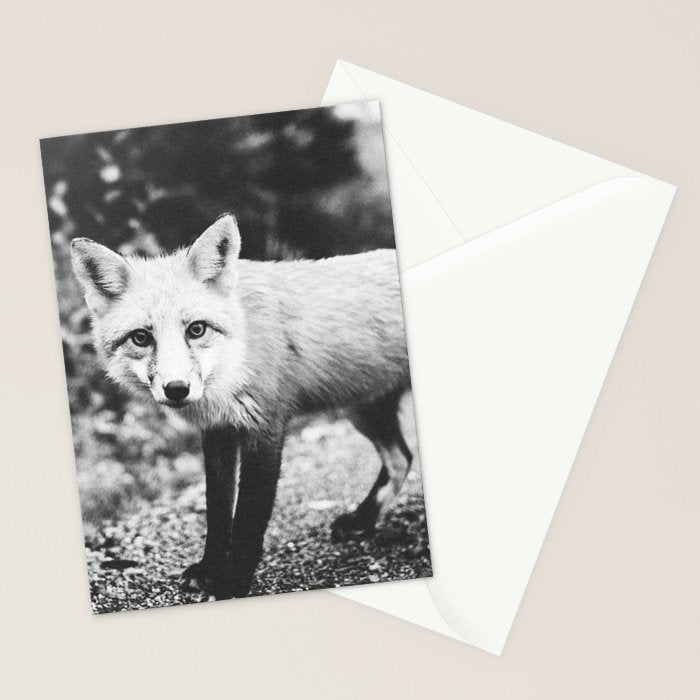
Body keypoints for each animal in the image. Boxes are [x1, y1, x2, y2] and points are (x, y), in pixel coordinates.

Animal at [71, 214, 414, 599]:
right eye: (141, 338)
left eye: (197, 329)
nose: (177, 390)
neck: (235, 358)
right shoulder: (218, 431)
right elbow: (218, 509)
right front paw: (209, 568)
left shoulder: (266, 426)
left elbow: (249, 515)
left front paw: (233, 580)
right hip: (362, 411)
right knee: (402, 459)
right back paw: (363, 520)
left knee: (402, 458)